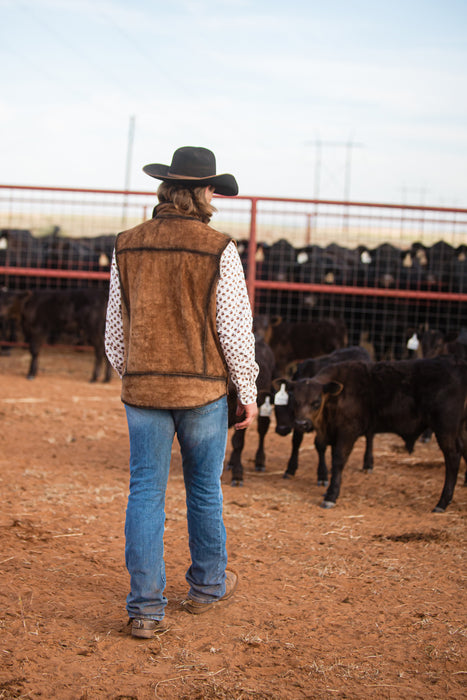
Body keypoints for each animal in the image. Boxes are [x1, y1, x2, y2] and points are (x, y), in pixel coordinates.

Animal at [274, 346, 372, 486]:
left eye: (317, 402)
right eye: (294, 399)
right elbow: (298, 441)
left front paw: (322, 475)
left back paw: (368, 464)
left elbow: (320, 444)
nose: (282, 429)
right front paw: (290, 469)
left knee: (369, 436)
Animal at [292, 358, 467, 512]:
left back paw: (442, 502)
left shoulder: (347, 432)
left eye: (316, 402)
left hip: (445, 428)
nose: (301, 423)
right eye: (295, 401)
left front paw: (331, 496)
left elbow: (338, 461)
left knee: (453, 457)